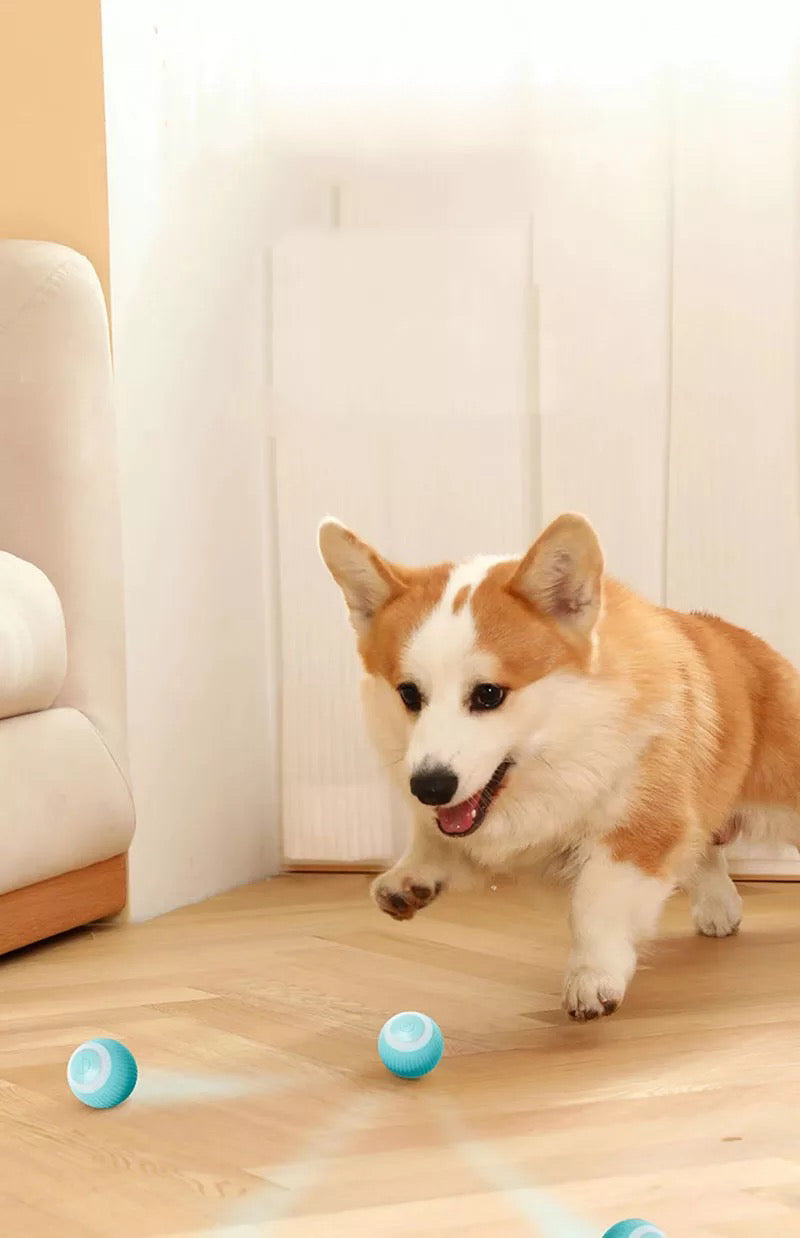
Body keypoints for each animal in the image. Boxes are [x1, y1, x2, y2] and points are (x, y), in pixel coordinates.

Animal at [319, 510, 800, 1015]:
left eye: (488, 694)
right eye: (409, 694)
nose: (429, 787)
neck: (564, 742)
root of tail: (748, 641)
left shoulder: (640, 828)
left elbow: (595, 902)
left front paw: (592, 976)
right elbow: (437, 839)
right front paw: (409, 878)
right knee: (705, 845)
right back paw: (718, 908)